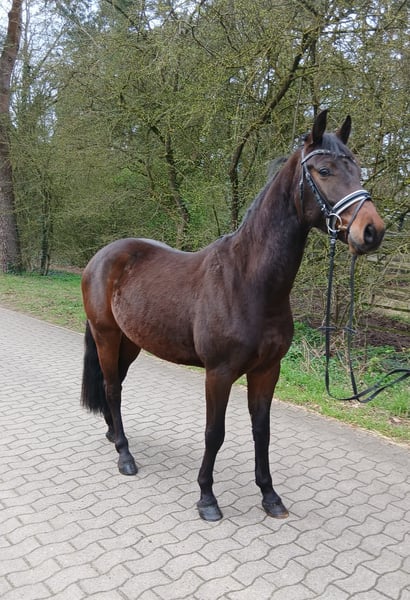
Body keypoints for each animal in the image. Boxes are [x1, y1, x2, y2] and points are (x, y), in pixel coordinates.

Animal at [81, 110, 385, 521]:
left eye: (357, 168)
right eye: (324, 170)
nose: (372, 231)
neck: (249, 282)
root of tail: (101, 257)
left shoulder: (267, 370)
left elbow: (262, 431)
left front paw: (270, 496)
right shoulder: (219, 373)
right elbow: (215, 433)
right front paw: (207, 498)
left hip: (130, 342)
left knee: (117, 386)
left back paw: (115, 435)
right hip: (106, 335)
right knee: (112, 388)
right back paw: (125, 455)